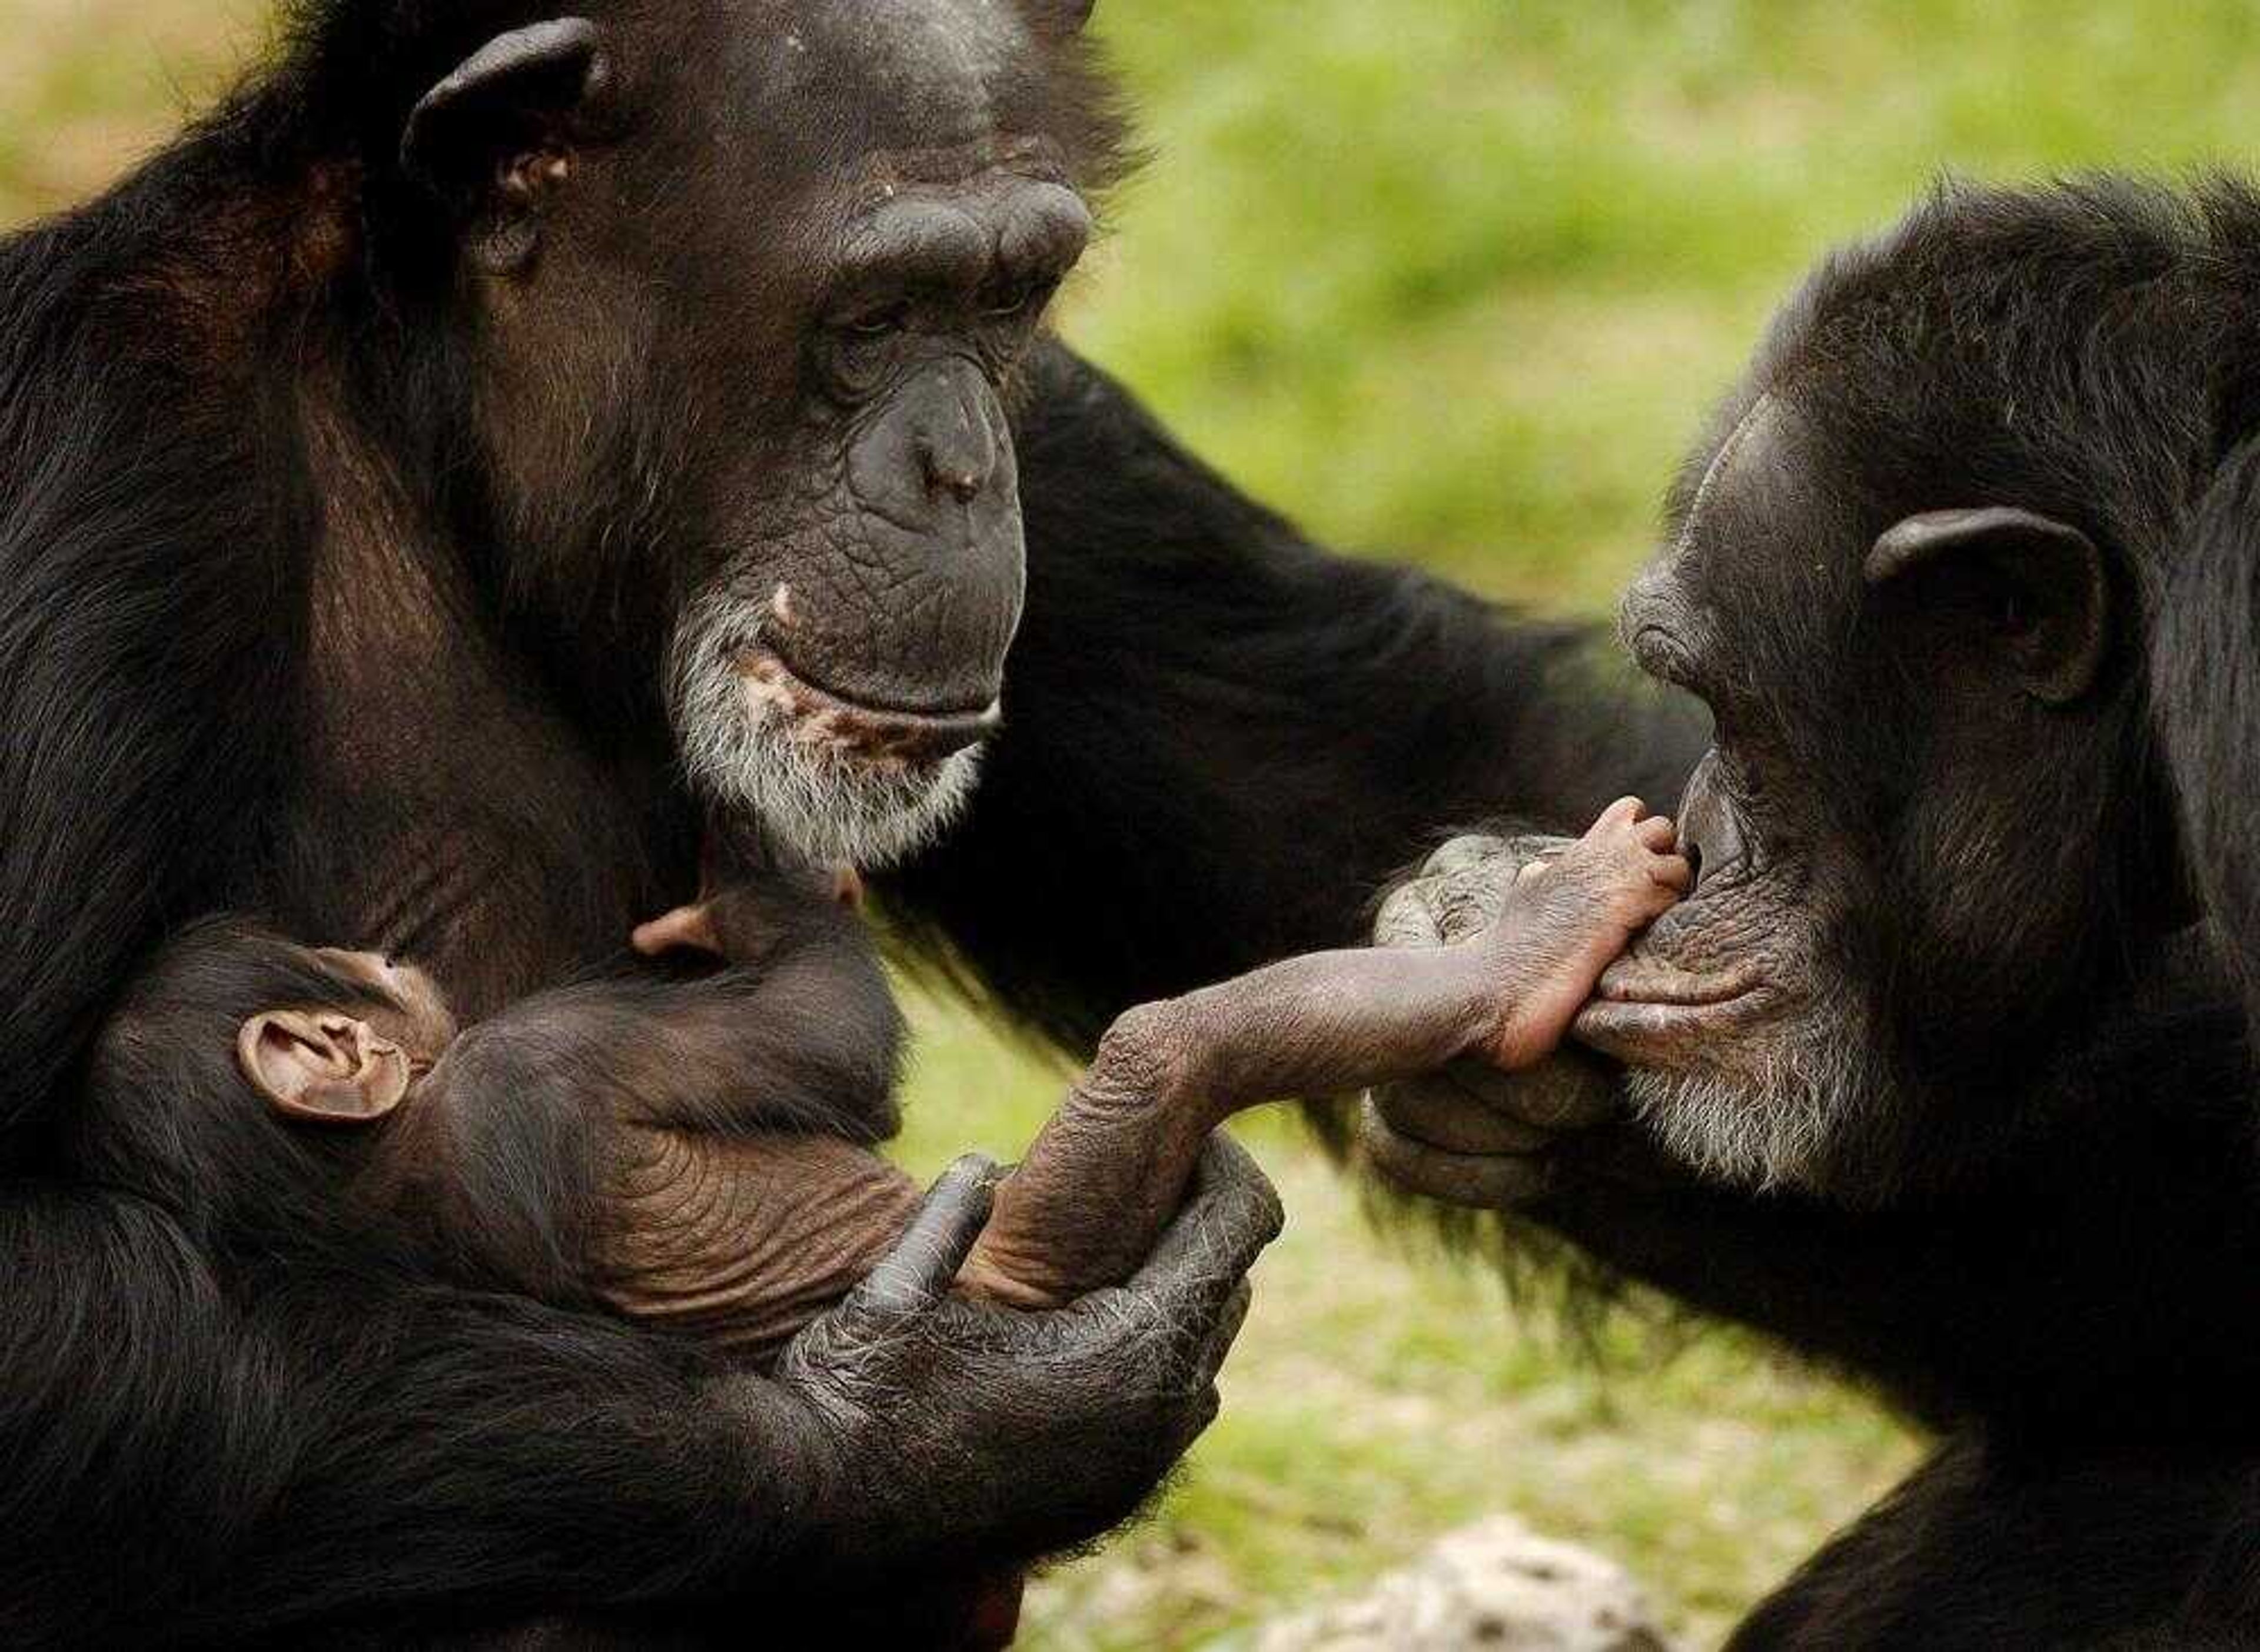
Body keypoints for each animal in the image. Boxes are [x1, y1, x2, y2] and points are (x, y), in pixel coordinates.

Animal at [79, 800, 1690, 1355]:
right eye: (342, 961)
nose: (383, 953)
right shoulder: (556, 1061)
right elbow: (834, 1049)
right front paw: (764, 879)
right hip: (1037, 1248)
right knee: (1159, 1046)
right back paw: (1535, 946)